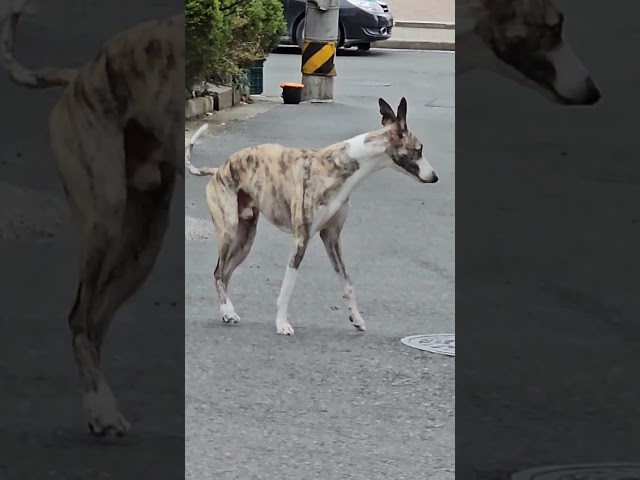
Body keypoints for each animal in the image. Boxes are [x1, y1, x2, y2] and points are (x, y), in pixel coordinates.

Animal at [0, 0, 185, 436]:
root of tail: (77, 76)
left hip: (143, 245)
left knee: (95, 327)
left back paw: (101, 409)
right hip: (104, 216)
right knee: (79, 322)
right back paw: (101, 410)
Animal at [182, 97, 438, 336]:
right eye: (419, 149)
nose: (434, 177)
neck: (337, 166)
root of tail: (218, 170)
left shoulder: (332, 237)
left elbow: (347, 284)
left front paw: (356, 318)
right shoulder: (301, 239)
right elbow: (287, 287)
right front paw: (282, 324)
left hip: (246, 238)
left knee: (224, 274)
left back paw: (228, 311)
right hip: (229, 229)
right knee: (218, 272)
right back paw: (228, 310)